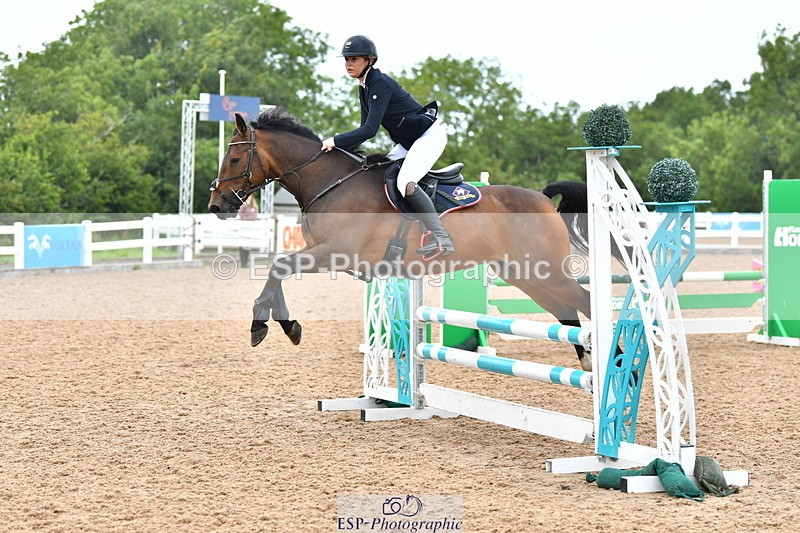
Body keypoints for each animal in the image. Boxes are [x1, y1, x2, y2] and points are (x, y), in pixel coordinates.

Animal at [208, 108, 596, 370]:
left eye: (235, 158)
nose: (216, 205)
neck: (330, 182)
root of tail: (543, 197)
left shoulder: (335, 252)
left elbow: (279, 266)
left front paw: (265, 326)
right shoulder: (326, 253)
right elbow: (279, 269)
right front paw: (284, 326)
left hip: (547, 272)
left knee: (586, 302)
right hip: (525, 275)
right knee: (567, 314)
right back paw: (590, 364)